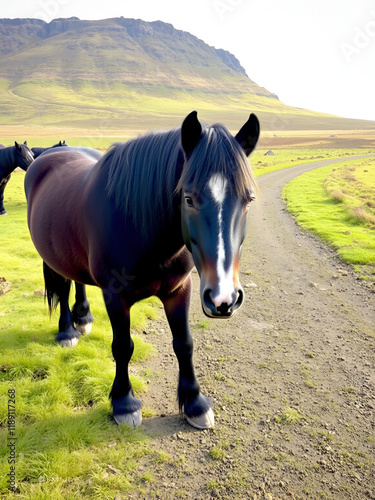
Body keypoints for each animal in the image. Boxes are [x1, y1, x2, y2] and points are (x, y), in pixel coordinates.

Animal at [25, 112, 262, 430]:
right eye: (188, 199)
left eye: (248, 199)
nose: (223, 299)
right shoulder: (115, 297)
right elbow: (123, 346)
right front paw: (124, 403)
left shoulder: (179, 289)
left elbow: (184, 343)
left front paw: (194, 402)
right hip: (52, 257)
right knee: (63, 288)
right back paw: (67, 331)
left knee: (78, 281)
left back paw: (83, 317)